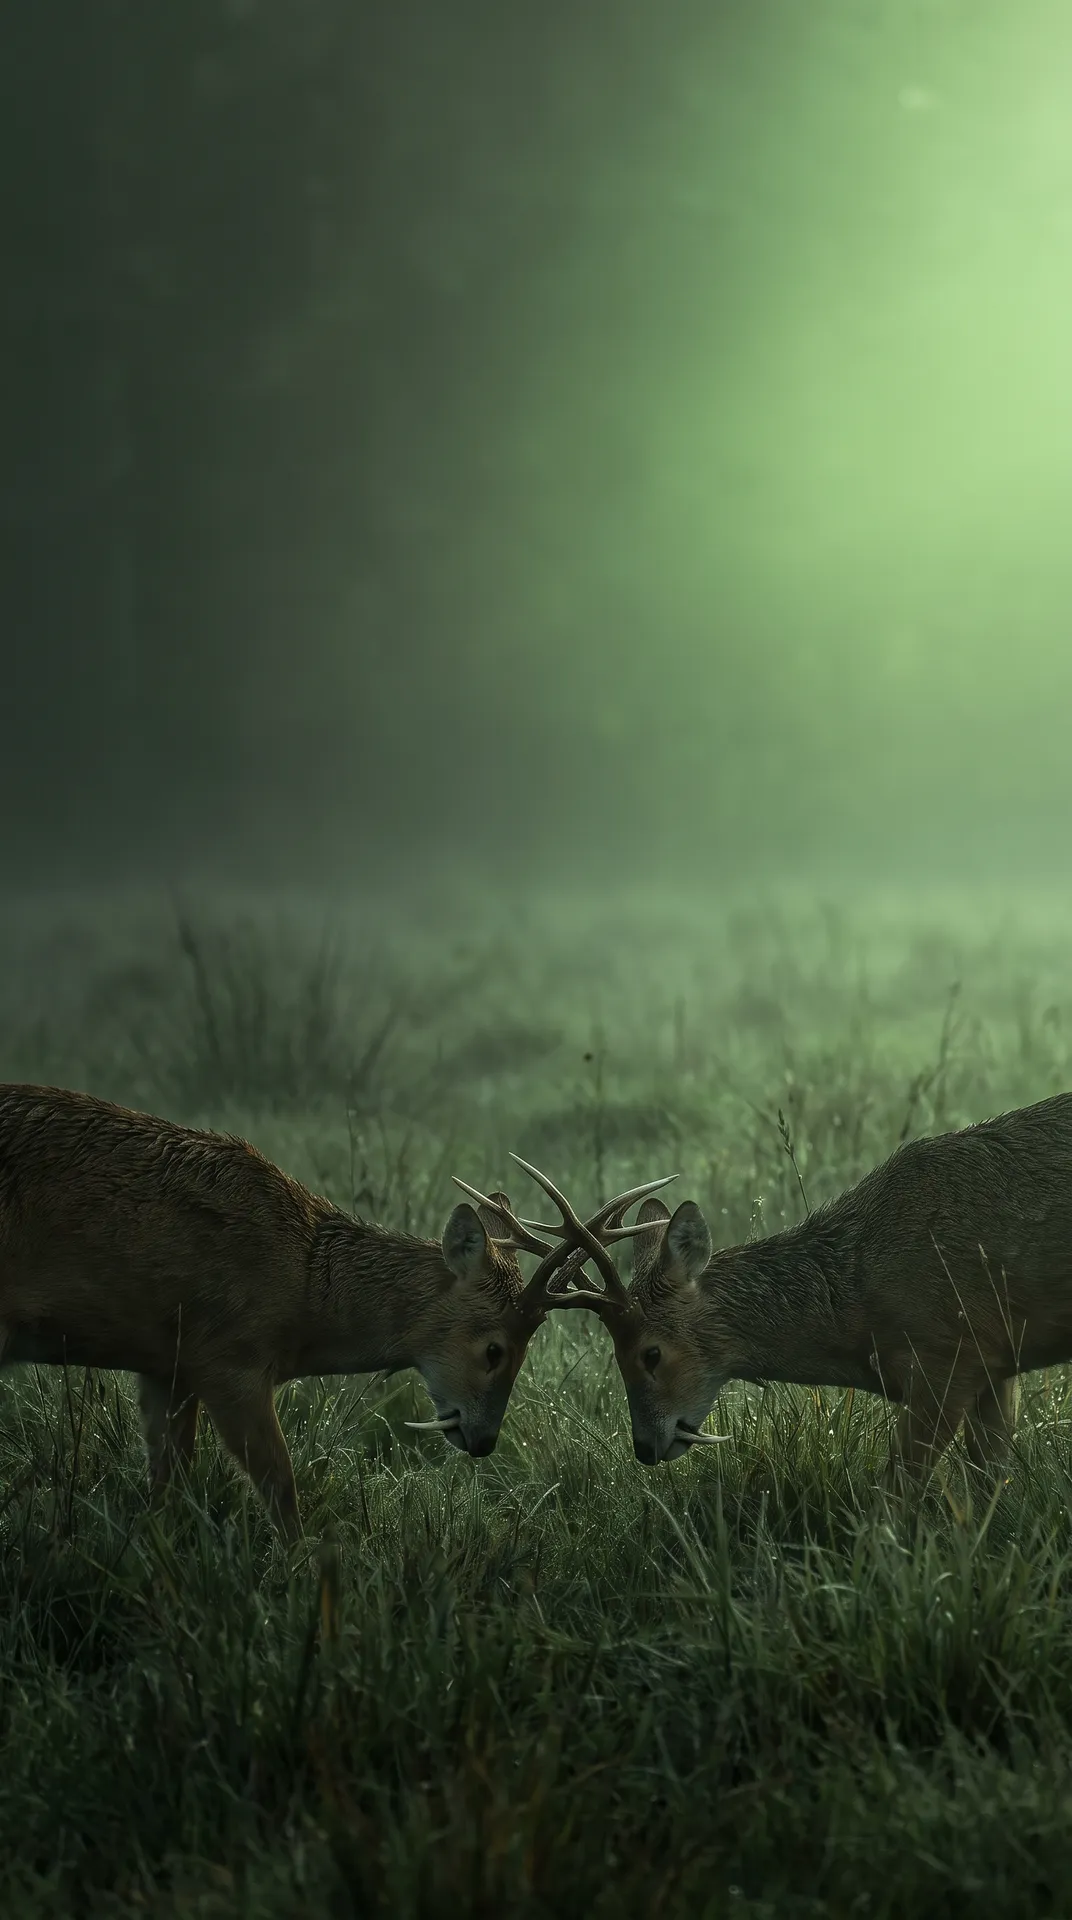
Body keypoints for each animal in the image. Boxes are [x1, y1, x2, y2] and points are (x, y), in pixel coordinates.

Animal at [0, 1083, 673, 1540]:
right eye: (493, 1348)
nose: (483, 1442)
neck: (302, 1287)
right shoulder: (226, 1358)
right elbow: (281, 1485)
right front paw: (300, 1579)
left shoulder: (163, 1365)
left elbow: (167, 1486)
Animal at [482, 1096, 1072, 1485]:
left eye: (650, 1353)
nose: (645, 1447)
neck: (859, 1298)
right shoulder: (996, 1365)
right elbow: (990, 1483)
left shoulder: (947, 1359)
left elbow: (897, 1494)